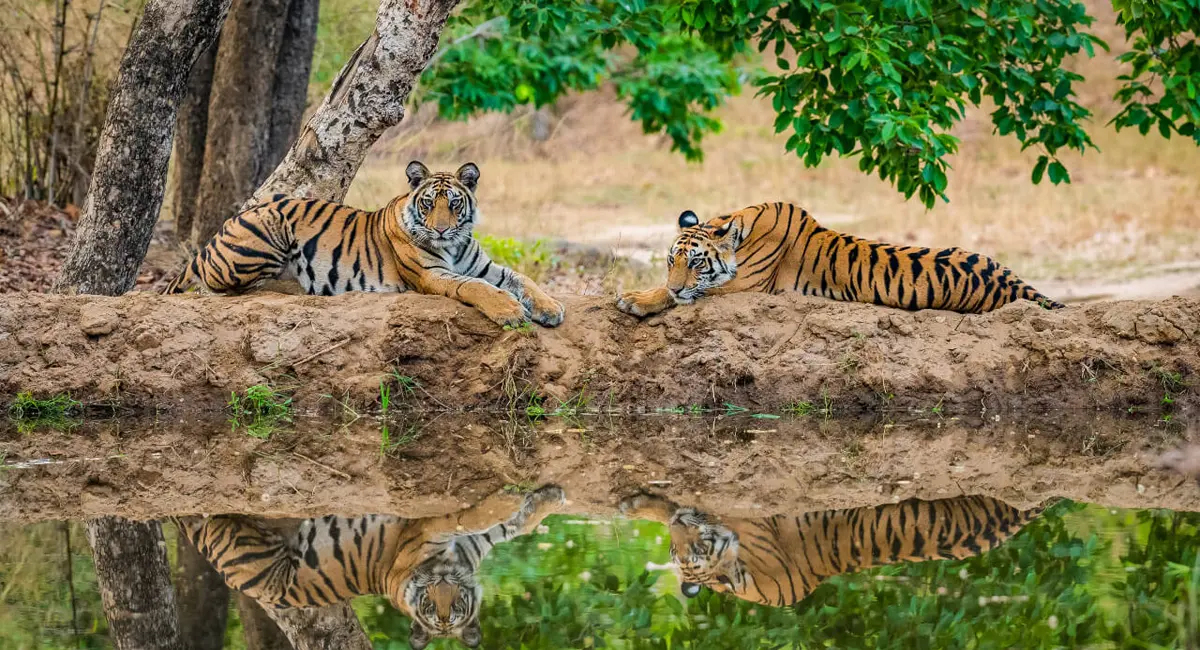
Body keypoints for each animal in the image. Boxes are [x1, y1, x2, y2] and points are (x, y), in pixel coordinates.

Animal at [162, 161, 564, 329]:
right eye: (428, 203)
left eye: (454, 204)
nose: (440, 231)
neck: (454, 245)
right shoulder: (433, 274)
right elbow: (477, 288)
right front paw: (510, 311)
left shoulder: (484, 266)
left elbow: (522, 279)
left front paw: (549, 308)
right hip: (268, 226)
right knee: (230, 289)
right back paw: (298, 287)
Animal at [175, 484, 566, 649]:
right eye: (430, 608)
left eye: (454, 608)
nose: (441, 590)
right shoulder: (423, 531)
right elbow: (470, 517)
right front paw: (518, 498)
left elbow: (510, 526)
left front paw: (544, 499)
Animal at [617, 202, 1064, 317]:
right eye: (670, 261)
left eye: (695, 264)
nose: (678, 283)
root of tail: (1012, 280)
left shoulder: (745, 287)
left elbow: (682, 295)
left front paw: (634, 299)